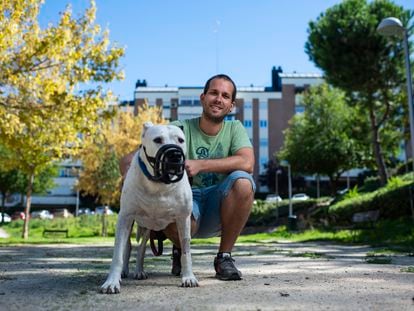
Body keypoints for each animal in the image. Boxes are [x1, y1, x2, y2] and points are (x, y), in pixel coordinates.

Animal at [100, 122, 197, 294]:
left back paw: (139, 270)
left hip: (147, 228)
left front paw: (188, 277)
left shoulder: (183, 219)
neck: (159, 185)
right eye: (157, 139)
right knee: (128, 246)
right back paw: (125, 271)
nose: (175, 155)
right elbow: (117, 253)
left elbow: (186, 251)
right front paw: (111, 282)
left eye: (180, 140)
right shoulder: (125, 217)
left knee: (141, 249)